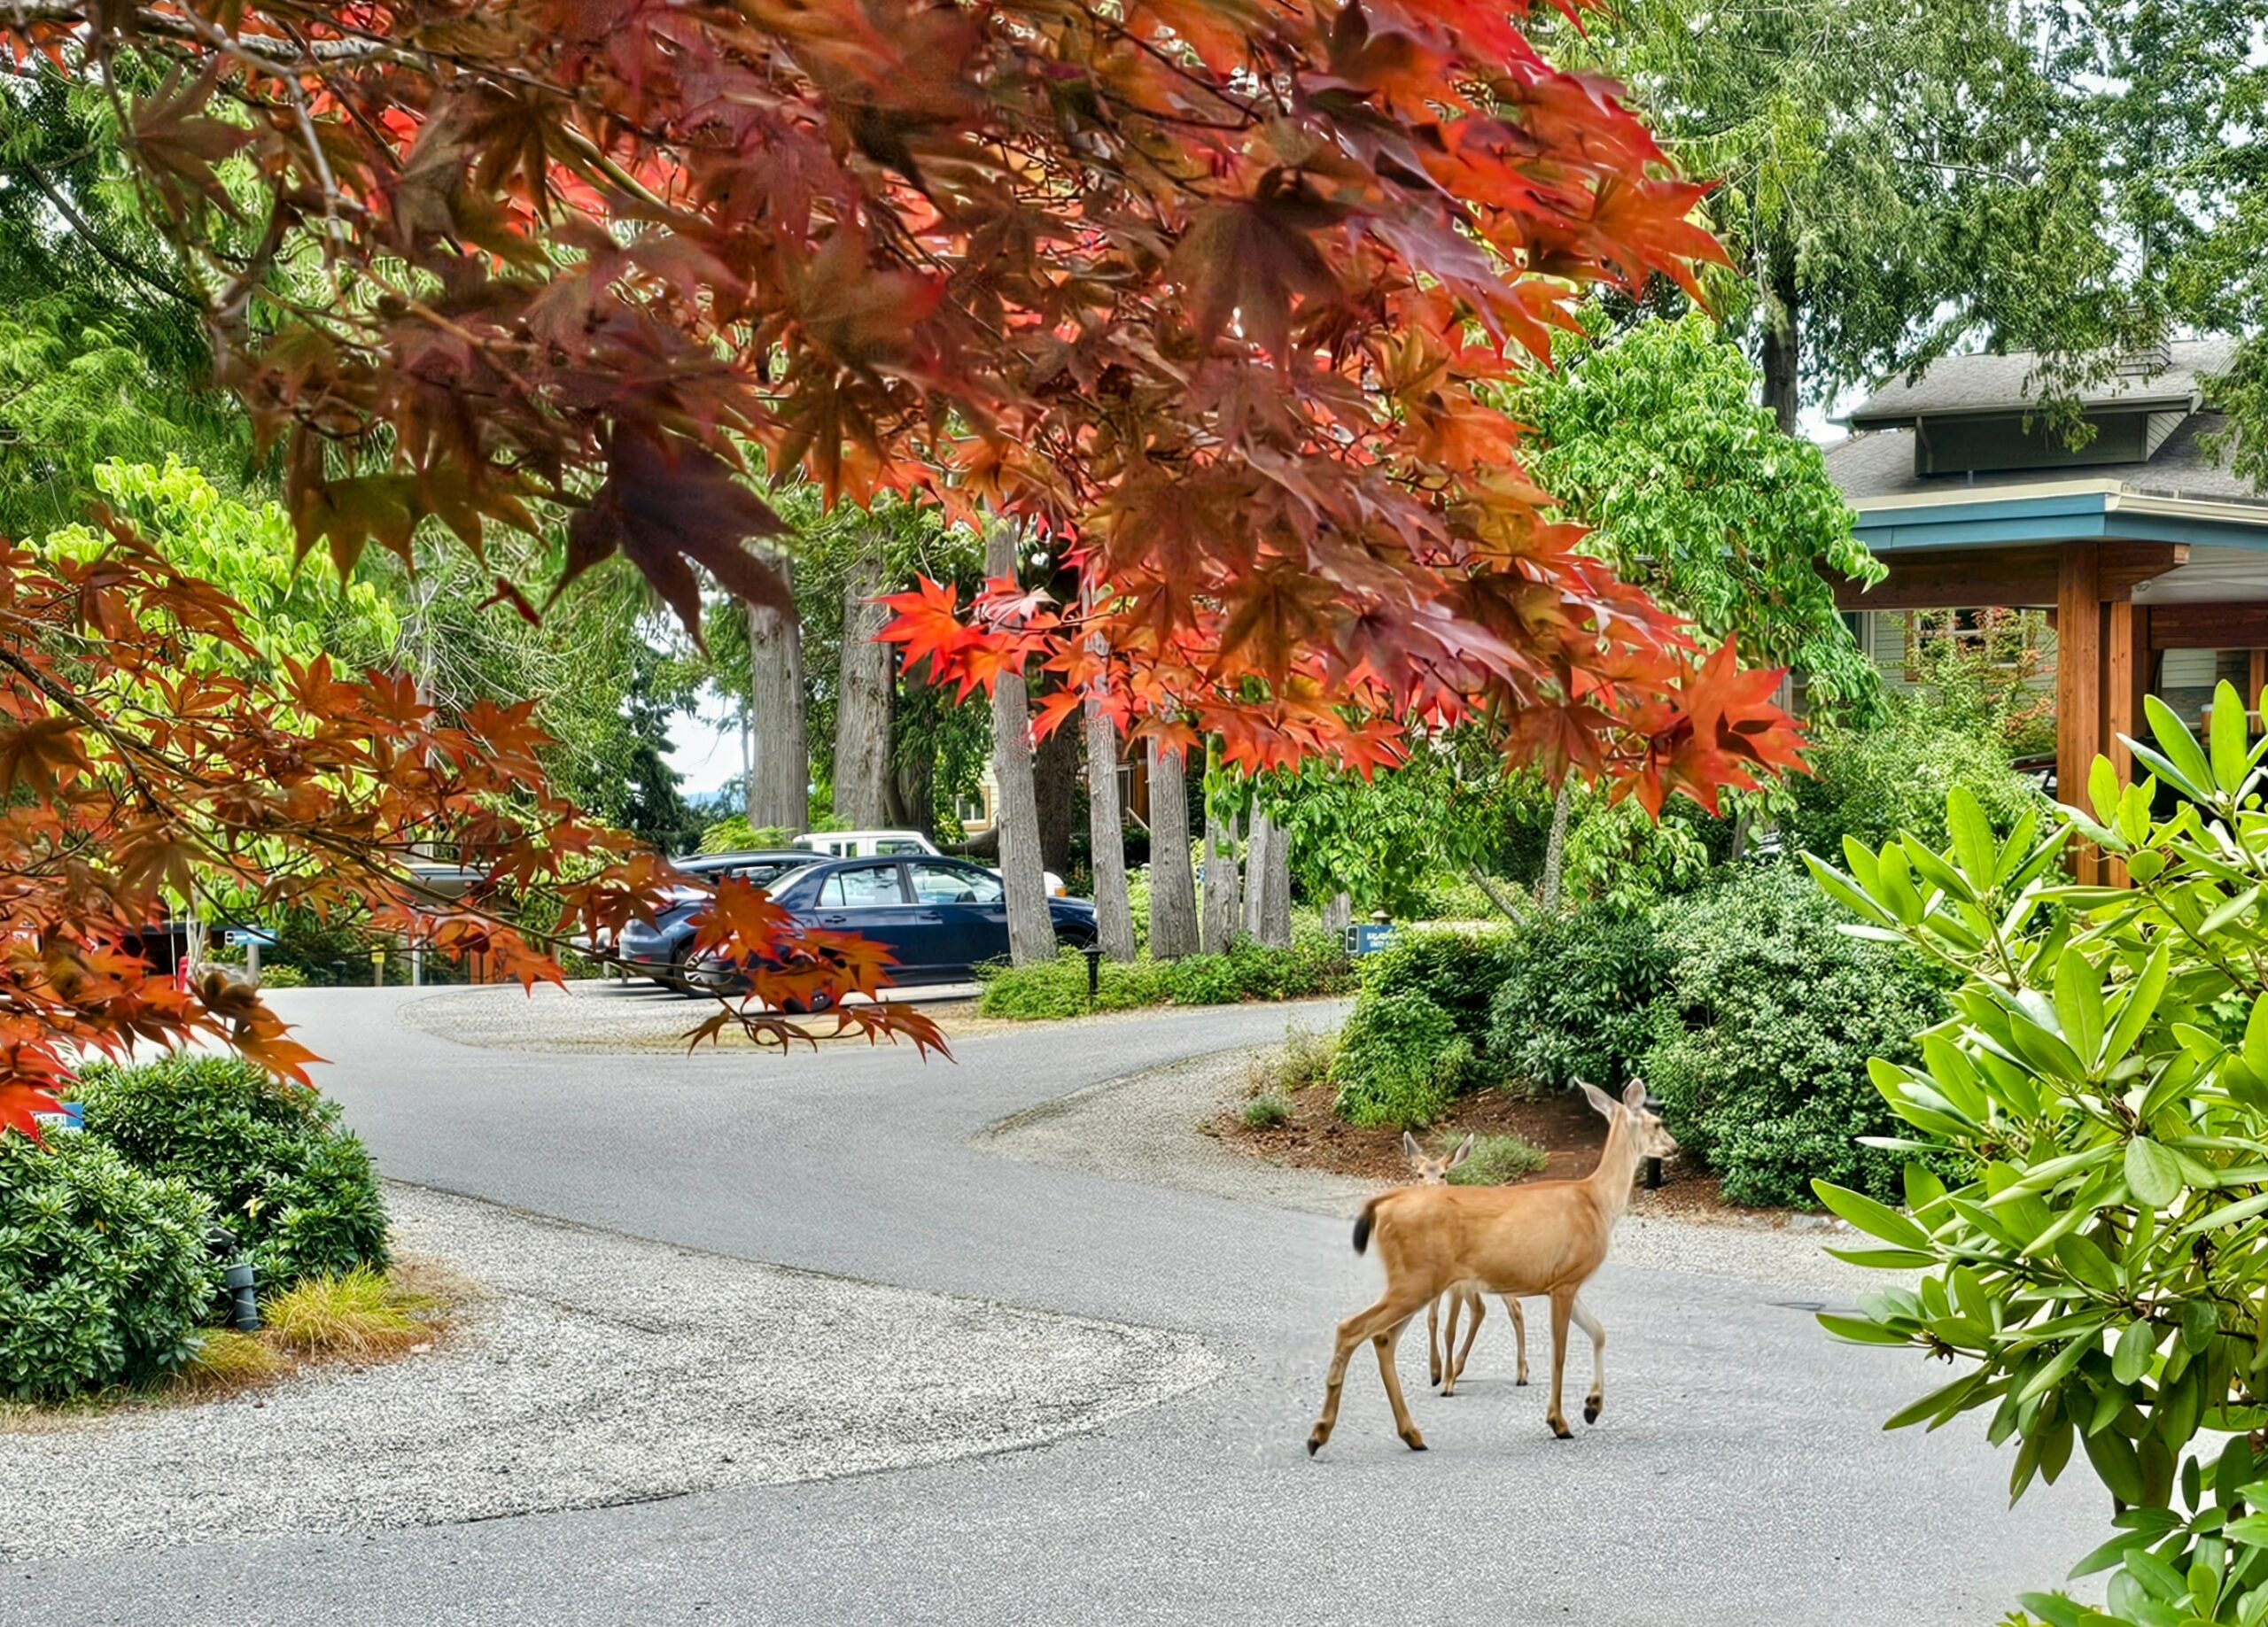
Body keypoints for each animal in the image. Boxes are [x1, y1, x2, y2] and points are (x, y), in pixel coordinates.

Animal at [1387, 1133, 1533, 1405]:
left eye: (1443, 1174)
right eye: (1419, 1174)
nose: (1432, 1190)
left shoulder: (1454, 1285)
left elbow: (1450, 1329)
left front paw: (1446, 1383)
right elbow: (1432, 1320)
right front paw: (1436, 1372)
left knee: (1513, 1308)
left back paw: (1520, 1373)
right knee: (1482, 1309)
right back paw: (1459, 1368)